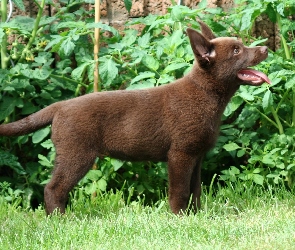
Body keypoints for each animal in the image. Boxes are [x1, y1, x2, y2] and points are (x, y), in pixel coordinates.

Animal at [0, 21, 270, 215]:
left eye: (241, 45)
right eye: (237, 51)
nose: (266, 48)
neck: (205, 94)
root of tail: (59, 106)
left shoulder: (197, 156)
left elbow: (195, 190)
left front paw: (196, 216)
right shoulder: (180, 154)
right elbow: (180, 191)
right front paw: (179, 217)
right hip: (76, 155)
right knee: (53, 188)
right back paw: (60, 219)